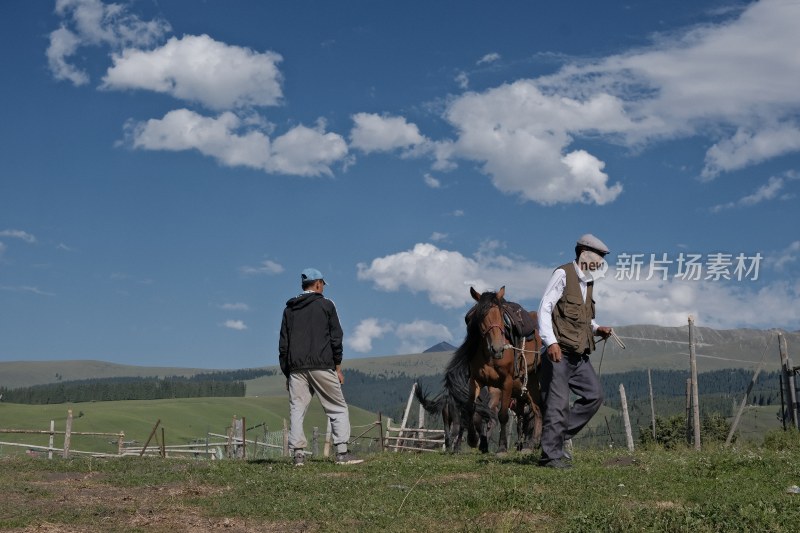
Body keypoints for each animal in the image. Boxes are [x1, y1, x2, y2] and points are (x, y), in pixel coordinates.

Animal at [450, 286, 544, 454]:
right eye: (479, 316)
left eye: (501, 316)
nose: (497, 348)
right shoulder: (476, 380)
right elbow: (471, 409)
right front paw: (473, 439)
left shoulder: (506, 383)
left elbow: (502, 416)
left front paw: (501, 448)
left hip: (532, 384)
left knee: (537, 411)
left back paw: (531, 443)